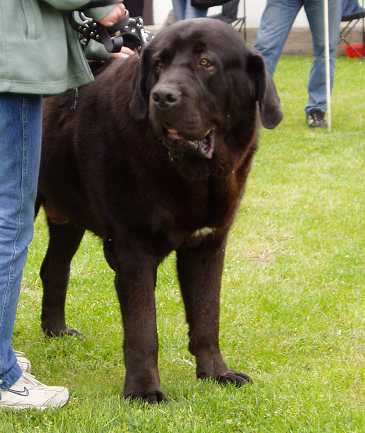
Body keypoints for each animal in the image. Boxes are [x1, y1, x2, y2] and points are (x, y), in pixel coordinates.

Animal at [37, 17, 282, 402]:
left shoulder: (208, 244)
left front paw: (216, 374)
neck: (193, 175)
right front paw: (143, 391)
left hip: (66, 215)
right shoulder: (133, 248)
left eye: (206, 63)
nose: (163, 96)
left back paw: (57, 331)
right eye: (159, 65)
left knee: (54, 269)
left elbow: (207, 316)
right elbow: (142, 329)